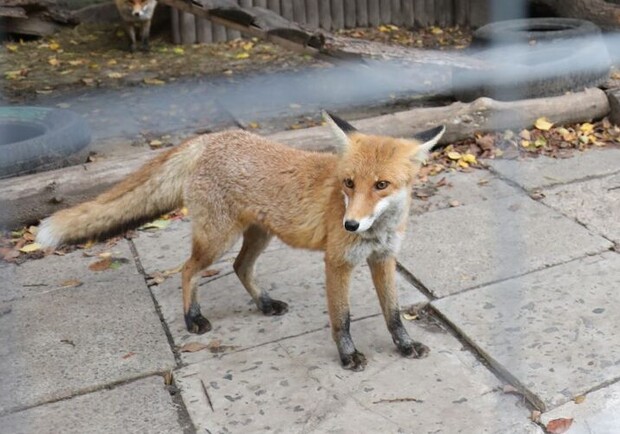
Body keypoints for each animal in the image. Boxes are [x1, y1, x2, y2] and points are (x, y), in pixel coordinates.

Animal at [36, 111, 446, 370]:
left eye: (381, 185)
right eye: (348, 183)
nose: (350, 225)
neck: (378, 230)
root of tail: (210, 139)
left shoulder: (383, 259)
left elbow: (393, 313)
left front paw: (405, 346)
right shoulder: (337, 263)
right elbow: (342, 320)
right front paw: (348, 356)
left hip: (258, 236)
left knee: (240, 267)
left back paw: (264, 304)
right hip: (217, 239)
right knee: (187, 270)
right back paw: (192, 318)